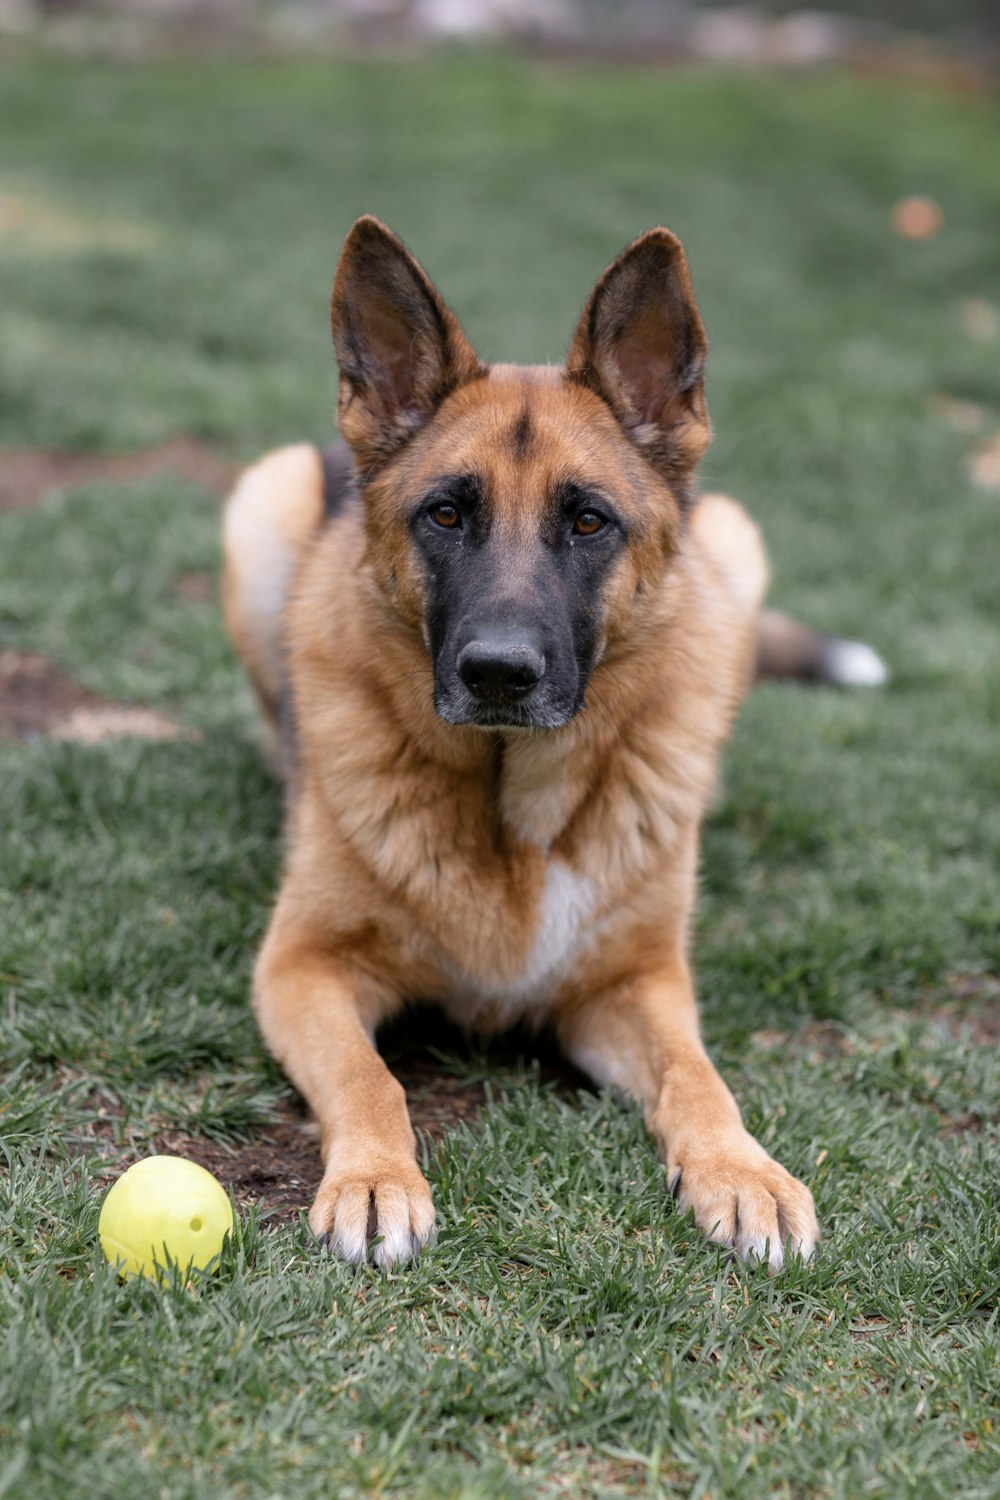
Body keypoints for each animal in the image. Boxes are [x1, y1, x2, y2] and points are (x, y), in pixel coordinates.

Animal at [223, 217, 887, 1272]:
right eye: (445, 513)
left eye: (587, 521)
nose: (499, 673)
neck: (514, 810)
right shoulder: (302, 967)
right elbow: (372, 1078)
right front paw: (375, 1178)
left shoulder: (636, 985)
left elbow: (700, 1075)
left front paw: (742, 1171)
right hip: (260, 507)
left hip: (735, 548)